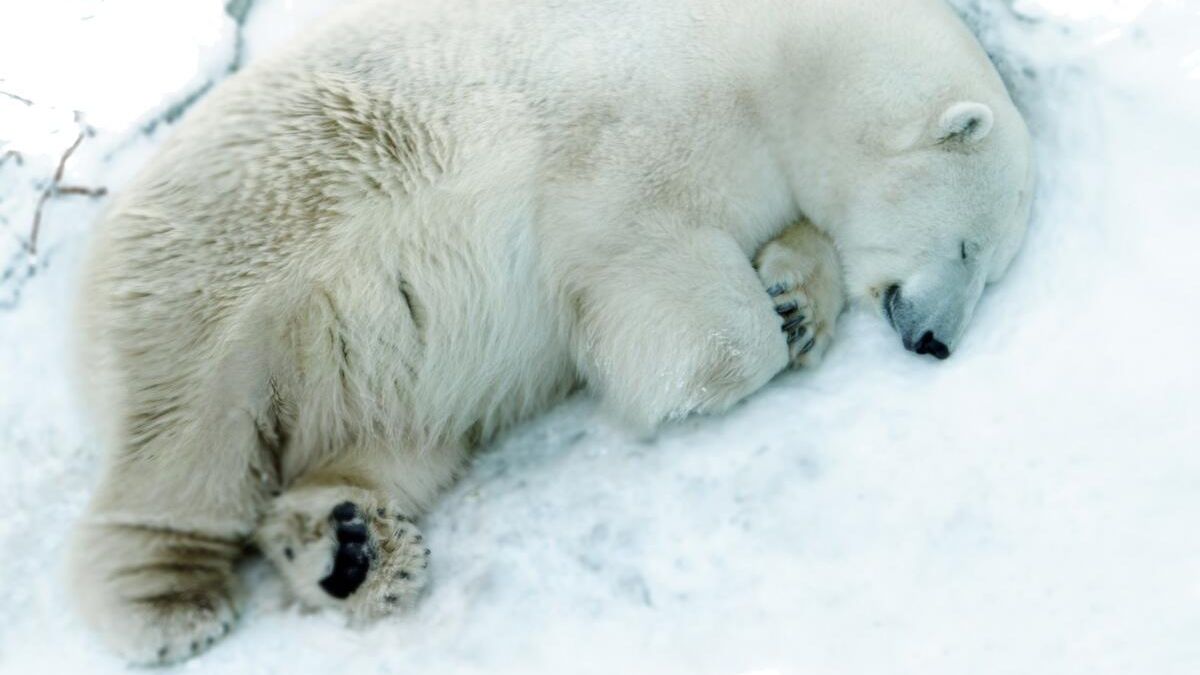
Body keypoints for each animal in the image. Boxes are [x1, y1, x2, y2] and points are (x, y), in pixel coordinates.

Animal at [68, 0, 1034, 663]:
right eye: (971, 247)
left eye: (992, 266)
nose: (937, 341)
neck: (779, 51)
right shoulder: (640, 119)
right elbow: (643, 256)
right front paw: (715, 362)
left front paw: (796, 301)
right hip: (241, 257)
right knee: (189, 431)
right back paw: (169, 604)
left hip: (369, 370)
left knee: (388, 441)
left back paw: (351, 546)